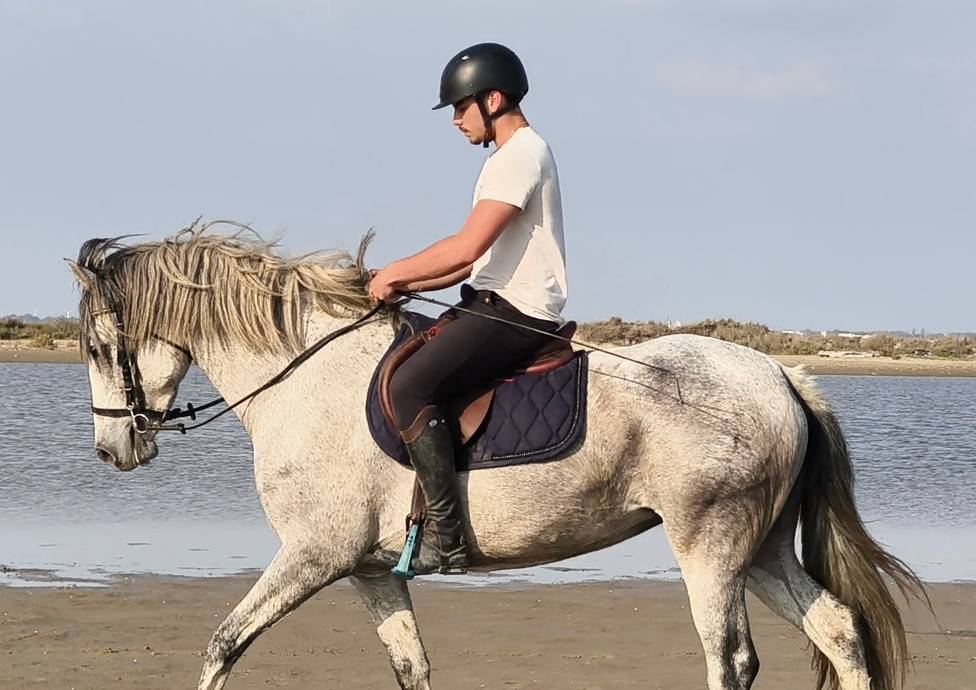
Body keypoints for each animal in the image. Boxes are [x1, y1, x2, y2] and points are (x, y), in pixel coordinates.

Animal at [67, 221, 923, 690]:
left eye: (99, 347)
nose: (113, 448)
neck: (304, 377)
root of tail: (780, 375)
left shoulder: (314, 555)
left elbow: (222, 645)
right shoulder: (370, 571)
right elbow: (412, 669)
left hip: (710, 549)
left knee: (731, 662)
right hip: (762, 550)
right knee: (840, 632)